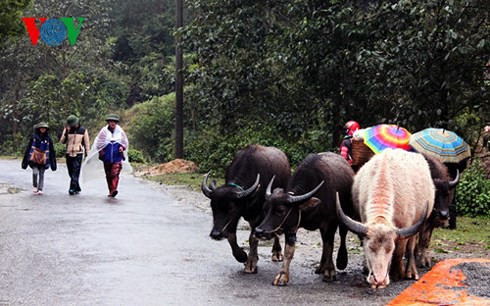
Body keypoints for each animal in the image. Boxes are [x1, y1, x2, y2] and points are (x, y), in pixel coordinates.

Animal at [201, 145, 290, 274]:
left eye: (231, 208)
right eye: (213, 207)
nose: (215, 234)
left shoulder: (259, 215)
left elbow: (252, 237)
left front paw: (250, 263)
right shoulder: (237, 217)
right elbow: (231, 236)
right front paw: (242, 256)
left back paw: (277, 252)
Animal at [255, 152, 354, 286]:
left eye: (281, 210)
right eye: (265, 209)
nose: (259, 231)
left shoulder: (330, 223)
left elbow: (330, 245)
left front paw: (330, 271)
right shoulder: (291, 226)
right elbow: (289, 251)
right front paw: (282, 275)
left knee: (341, 235)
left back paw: (338, 262)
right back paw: (320, 267)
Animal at [334, 149, 434, 288]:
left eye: (390, 249)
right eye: (370, 248)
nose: (379, 280)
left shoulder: (405, 227)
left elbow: (400, 251)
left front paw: (397, 273)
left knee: (411, 246)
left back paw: (411, 271)